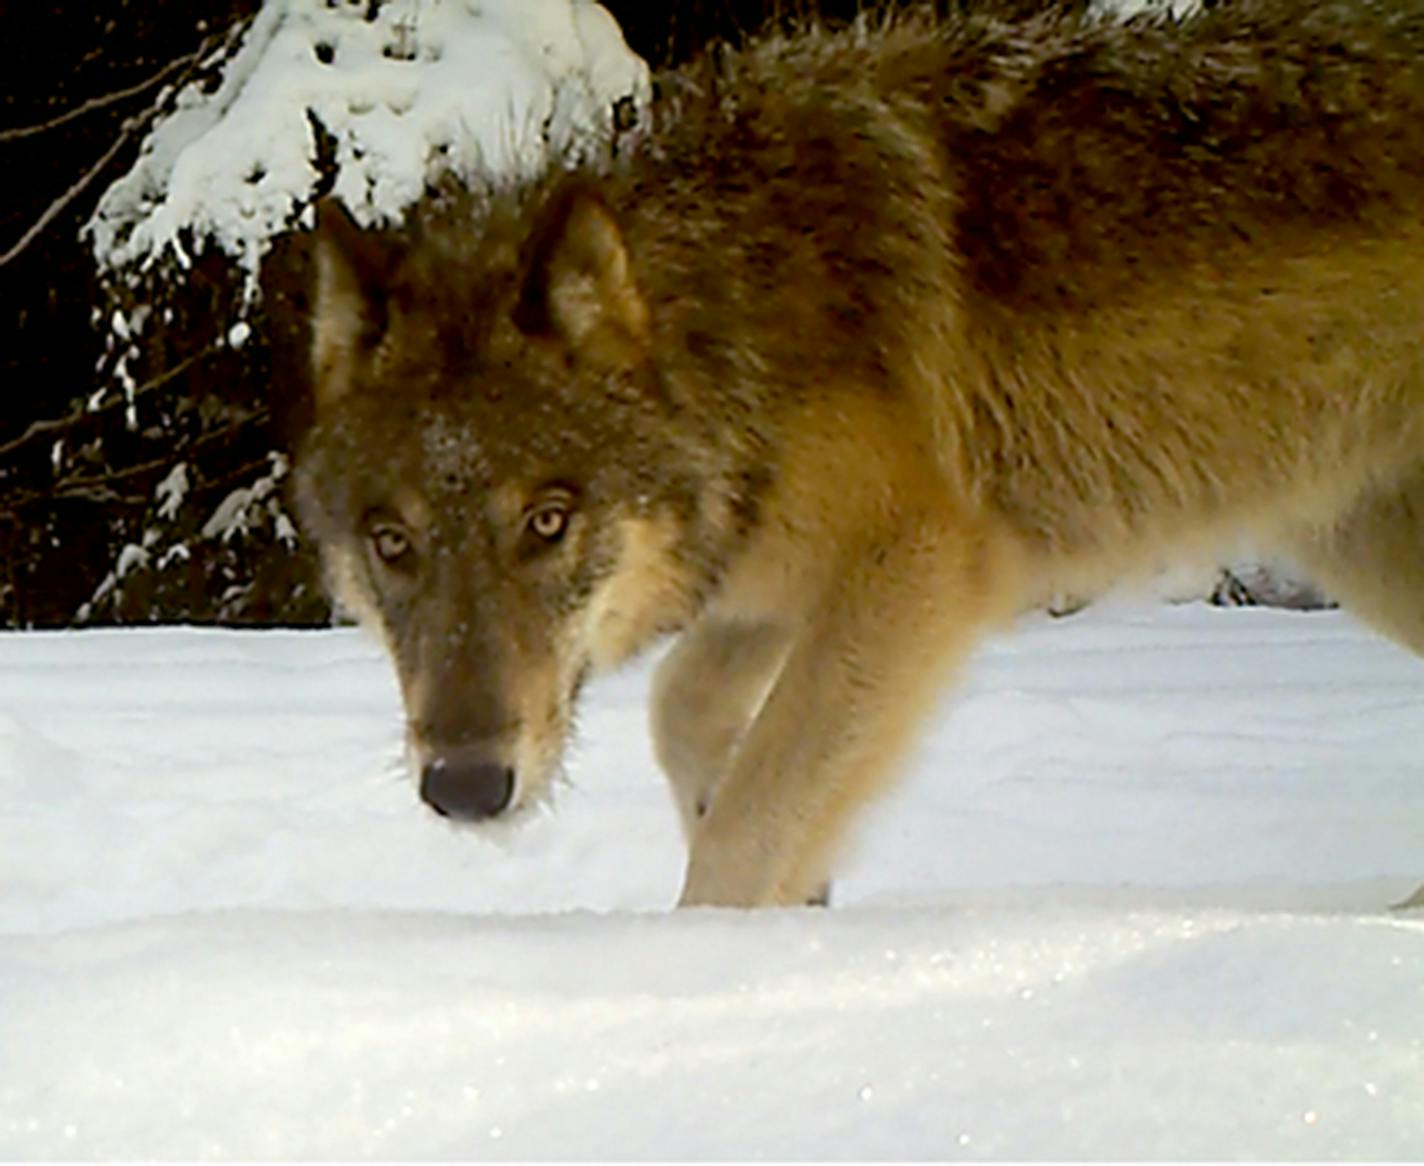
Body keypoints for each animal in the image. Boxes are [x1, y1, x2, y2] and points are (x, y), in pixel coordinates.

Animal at [294, 0, 1424, 911]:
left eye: (546, 520)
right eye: (391, 542)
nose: (463, 788)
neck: (741, 321)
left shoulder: (914, 562)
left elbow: (753, 817)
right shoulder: (772, 575)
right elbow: (681, 709)